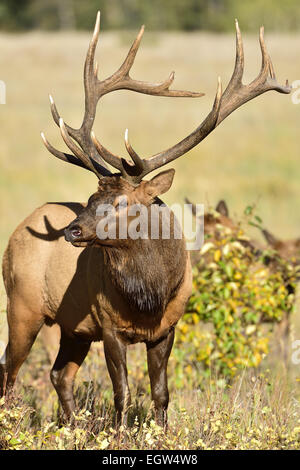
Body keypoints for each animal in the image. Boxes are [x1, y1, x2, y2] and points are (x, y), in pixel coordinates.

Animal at [0, 12, 290, 428]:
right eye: (91, 198)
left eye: (120, 201)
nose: (72, 230)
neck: (148, 298)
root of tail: (19, 228)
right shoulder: (108, 325)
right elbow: (121, 393)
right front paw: (121, 433)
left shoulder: (167, 327)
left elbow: (161, 393)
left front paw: (161, 431)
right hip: (22, 303)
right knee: (10, 369)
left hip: (74, 328)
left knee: (59, 374)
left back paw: (72, 426)